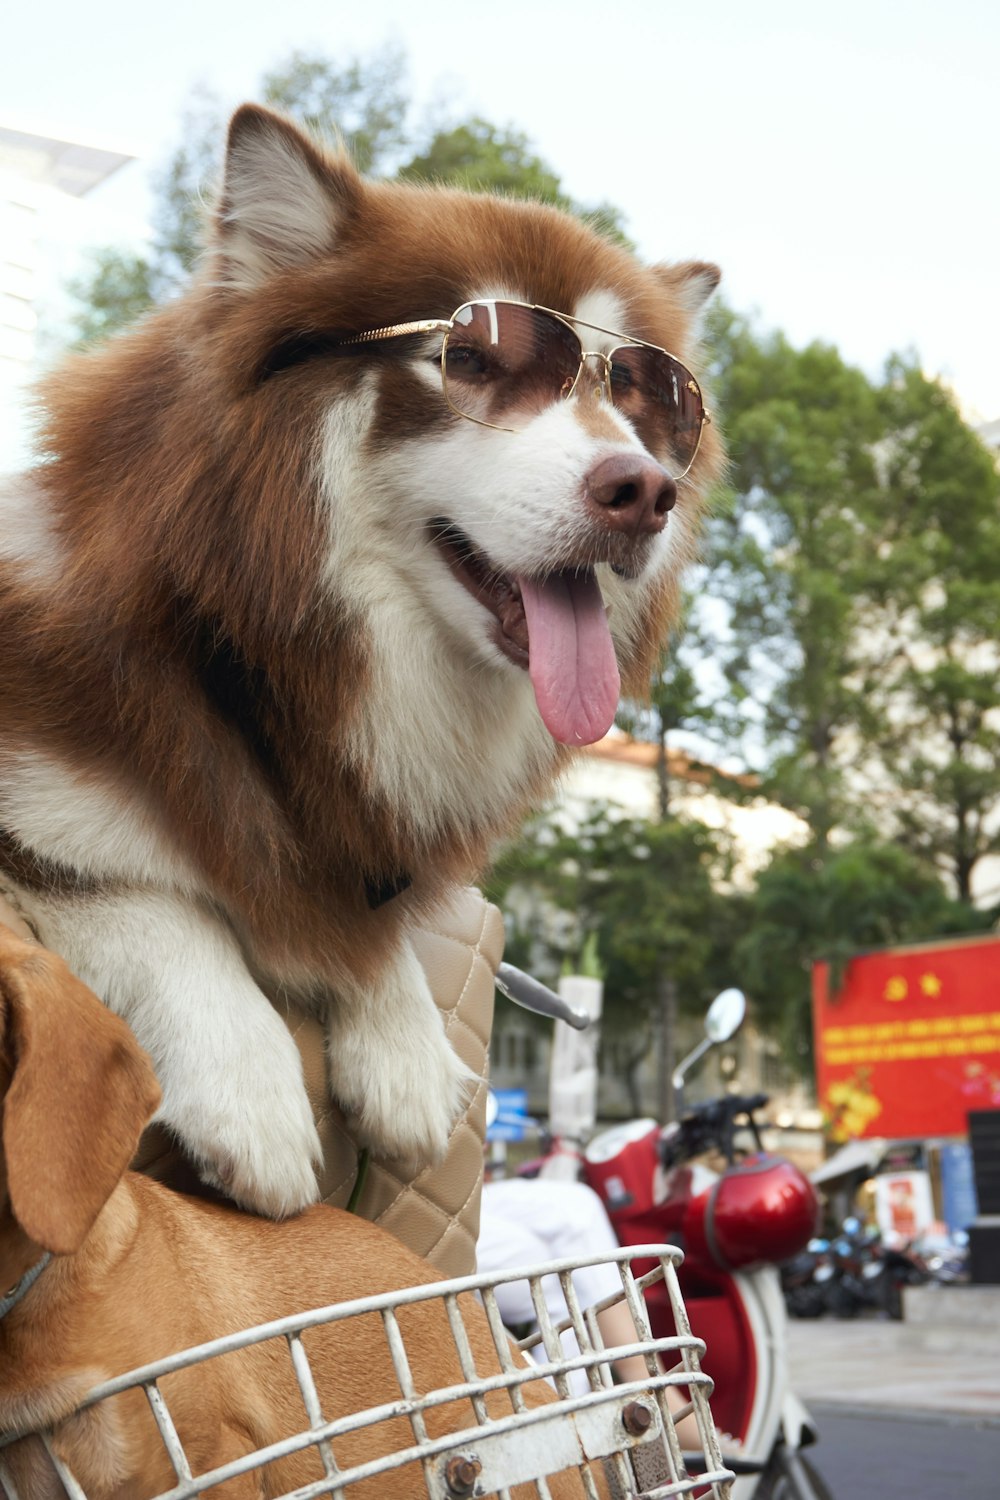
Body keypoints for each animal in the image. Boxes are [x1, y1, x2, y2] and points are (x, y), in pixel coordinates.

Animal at [0, 105, 722, 1212]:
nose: (644, 490)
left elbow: (363, 918)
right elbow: (147, 900)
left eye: (650, 399)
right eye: (475, 359)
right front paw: (248, 1085)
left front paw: (404, 1038)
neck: (253, 665)